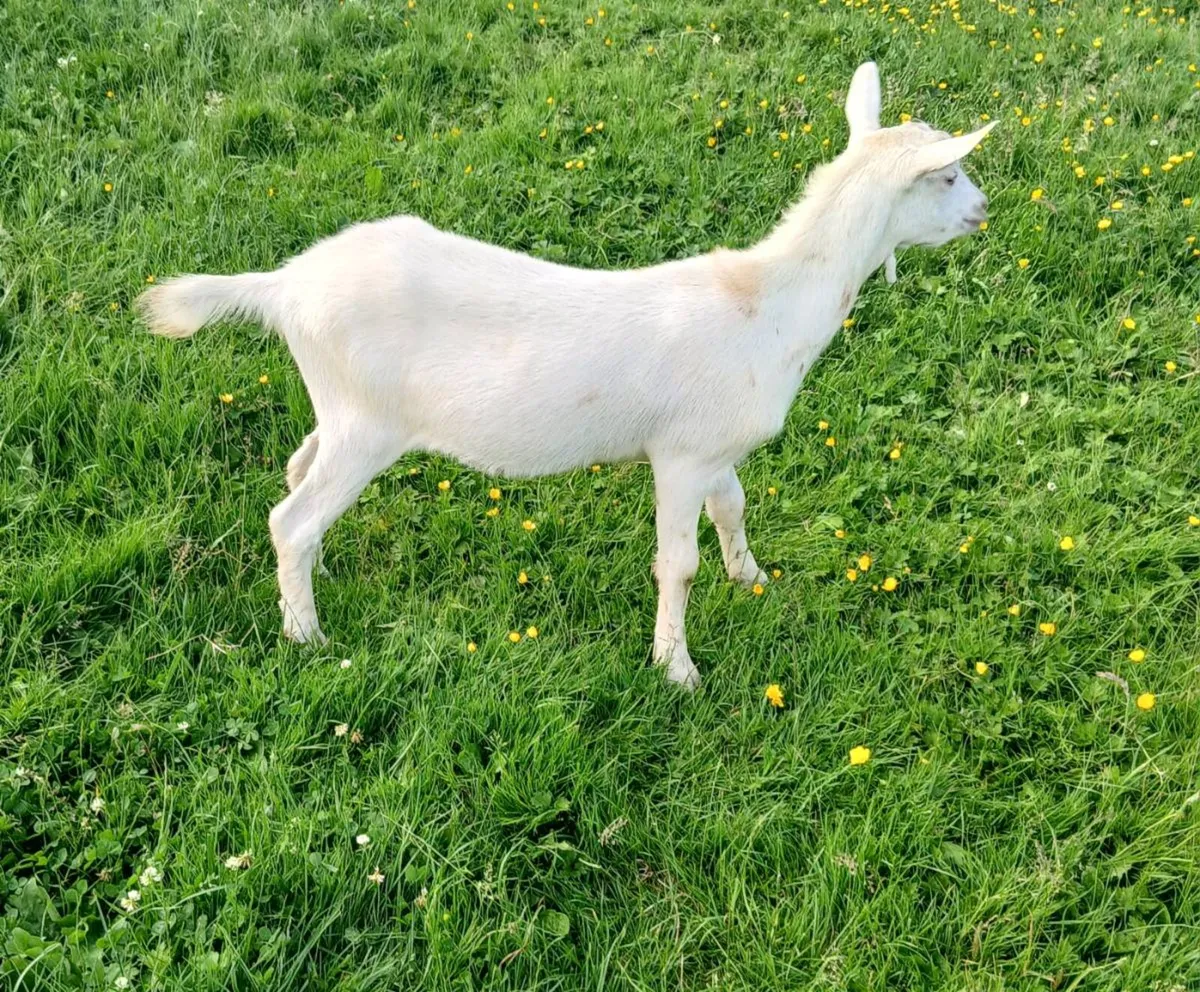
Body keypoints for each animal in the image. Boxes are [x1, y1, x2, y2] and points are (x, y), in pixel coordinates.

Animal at [139, 62, 994, 689]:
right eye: (950, 175)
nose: (985, 212)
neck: (764, 303)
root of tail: (283, 286)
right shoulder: (680, 456)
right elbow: (678, 565)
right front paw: (677, 670)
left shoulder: (713, 446)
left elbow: (735, 509)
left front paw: (752, 579)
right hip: (369, 424)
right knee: (292, 518)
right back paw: (307, 634)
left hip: (340, 406)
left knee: (296, 472)